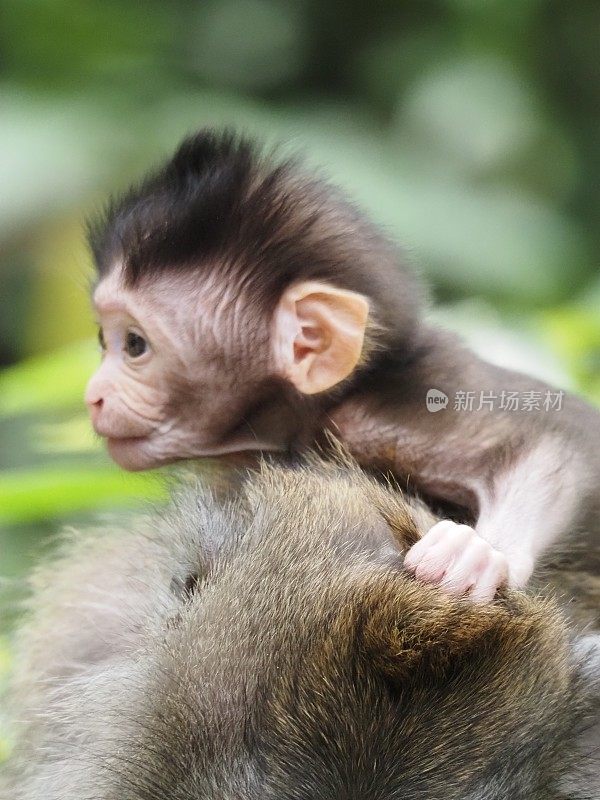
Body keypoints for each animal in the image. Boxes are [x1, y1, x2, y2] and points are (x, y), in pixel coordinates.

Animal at [84, 131, 600, 604]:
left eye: (134, 345)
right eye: (103, 340)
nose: (93, 396)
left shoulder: (373, 413)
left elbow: (558, 444)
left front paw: (480, 550)